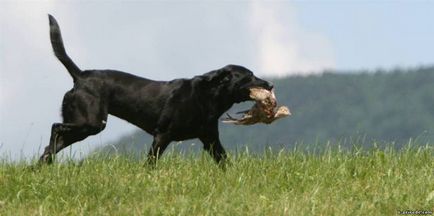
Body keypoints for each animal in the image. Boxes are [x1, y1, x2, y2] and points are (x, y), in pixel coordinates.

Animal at [40, 14, 272, 165]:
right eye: (249, 76)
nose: (269, 85)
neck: (207, 96)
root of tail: (80, 75)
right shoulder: (162, 135)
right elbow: (150, 163)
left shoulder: (210, 140)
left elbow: (225, 163)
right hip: (91, 123)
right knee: (55, 128)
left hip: (83, 126)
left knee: (52, 145)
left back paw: (42, 166)